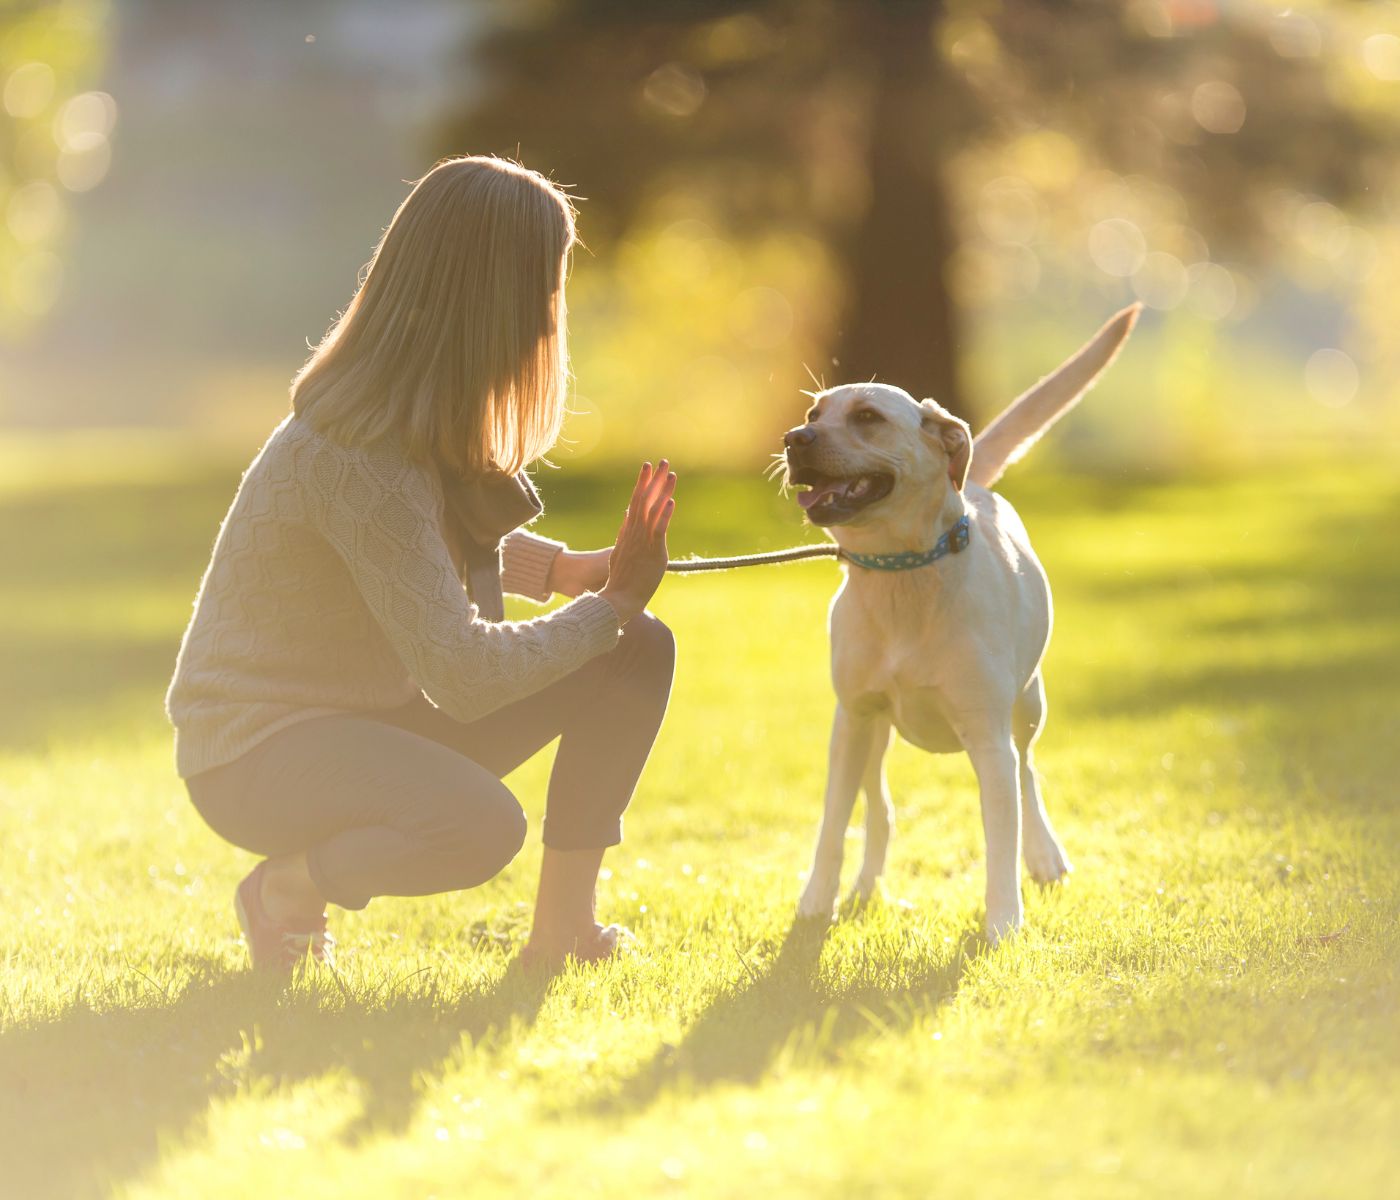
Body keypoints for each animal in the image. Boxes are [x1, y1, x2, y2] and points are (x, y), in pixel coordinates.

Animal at [784, 309, 1142, 946]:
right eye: (814, 415)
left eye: (869, 417)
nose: (792, 440)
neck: (903, 573)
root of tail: (973, 483)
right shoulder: (851, 719)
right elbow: (832, 826)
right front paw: (814, 906)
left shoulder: (988, 736)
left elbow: (1001, 835)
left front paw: (1002, 924)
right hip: (873, 734)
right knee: (880, 809)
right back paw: (866, 889)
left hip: (1028, 706)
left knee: (1028, 774)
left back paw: (1045, 856)